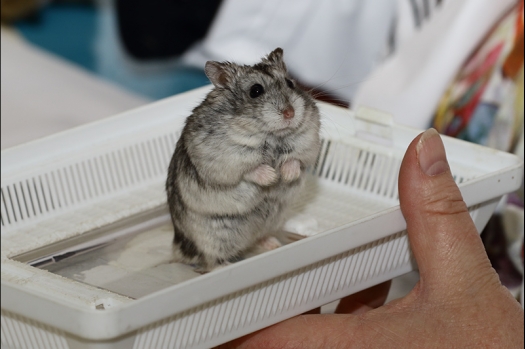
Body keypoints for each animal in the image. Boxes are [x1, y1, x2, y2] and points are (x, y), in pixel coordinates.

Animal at [166, 47, 320, 270]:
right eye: (255, 91)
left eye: (290, 83)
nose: (290, 113)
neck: (271, 135)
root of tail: (179, 251)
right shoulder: (226, 160)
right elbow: (250, 170)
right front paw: (272, 176)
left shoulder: (309, 145)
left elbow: (296, 161)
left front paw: (286, 175)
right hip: (213, 237)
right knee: (211, 261)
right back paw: (225, 266)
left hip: (271, 222)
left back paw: (273, 244)